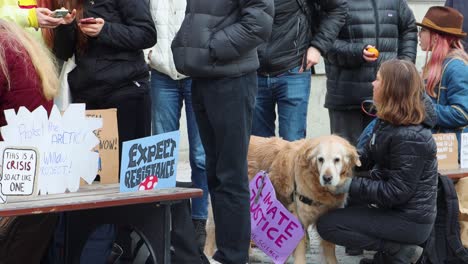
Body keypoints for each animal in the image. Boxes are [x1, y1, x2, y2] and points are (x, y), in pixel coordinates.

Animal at [203, 135, 360, 264]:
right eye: (320, 159)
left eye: (337, 160)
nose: (327, 178)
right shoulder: (298, 218)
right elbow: (300, 251)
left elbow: (330, 251)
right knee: (212, 228)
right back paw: (209, 255)